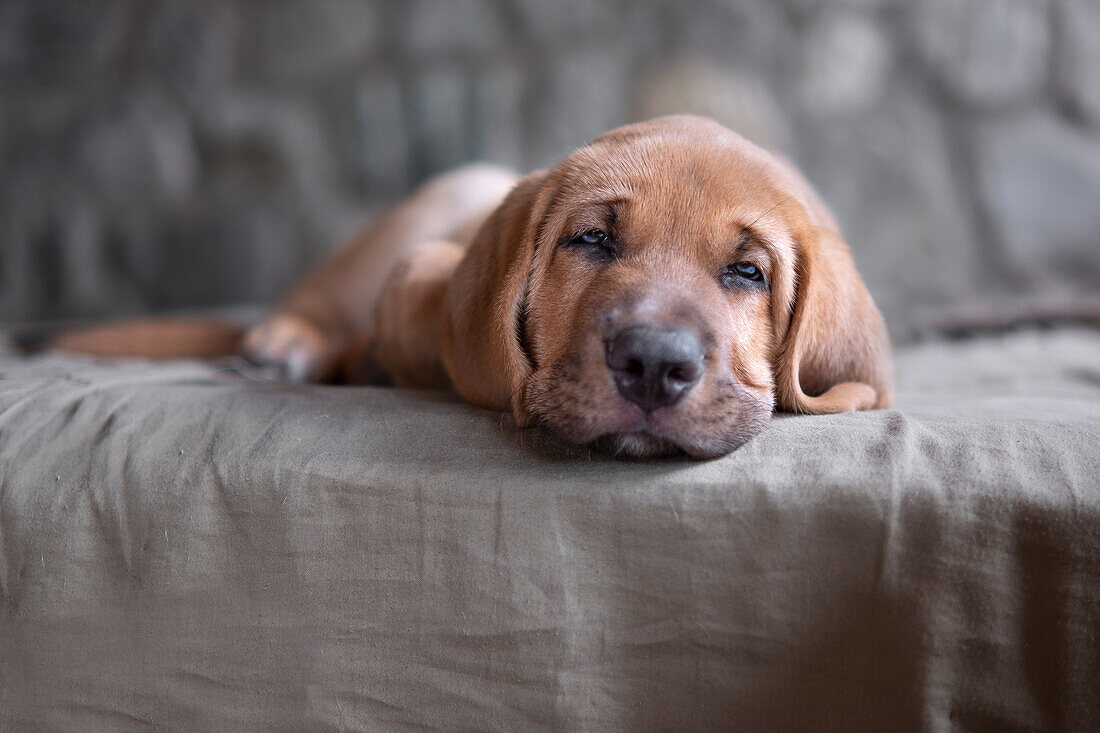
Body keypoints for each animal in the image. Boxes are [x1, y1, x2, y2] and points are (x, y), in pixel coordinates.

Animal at [45, 115, 893, 457]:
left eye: (748, 272)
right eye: (590, 240)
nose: (653, 364)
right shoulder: (413, 269)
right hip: (443, 194)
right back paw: (283, 344)